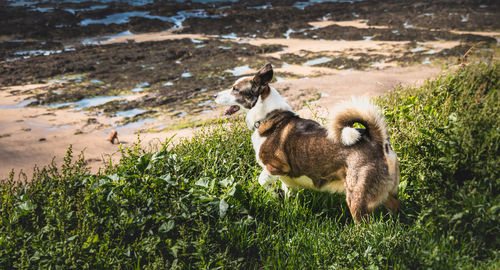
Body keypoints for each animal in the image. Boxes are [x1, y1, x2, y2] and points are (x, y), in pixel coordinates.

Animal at [213, 63, 400, 224]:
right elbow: (287, 191)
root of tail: (377, 139)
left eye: (235, 89)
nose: (214, 95)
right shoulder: (286, 180)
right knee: (395, 210)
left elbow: (262, 180)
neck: (268, 116)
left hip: (357, 197)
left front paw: (273, 194)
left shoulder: (277, 167)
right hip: (389, 193)